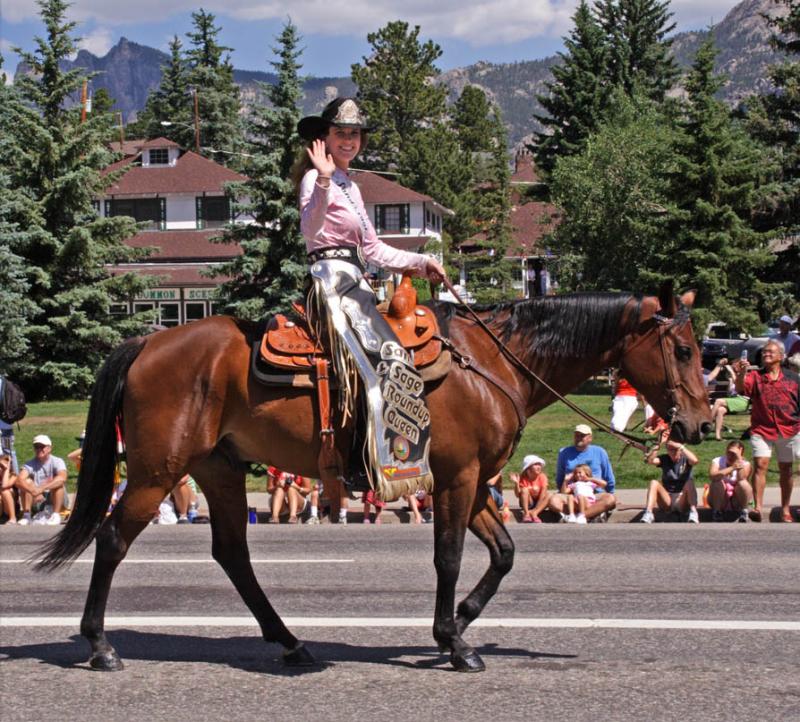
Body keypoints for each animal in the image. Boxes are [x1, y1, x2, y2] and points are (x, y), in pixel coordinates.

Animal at [37, 280, 712, 668]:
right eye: (683, 350)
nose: (702, 424)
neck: (491, 363)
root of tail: (146, 343)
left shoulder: (476, 482)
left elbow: (503, 553)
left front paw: (460, 621)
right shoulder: (458, 478)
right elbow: (450, 557)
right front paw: (453, 641)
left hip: (218, 469)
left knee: (232, 553)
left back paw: (290, 642)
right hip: (158, 470)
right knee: (113, 539)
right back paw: (99, 645)